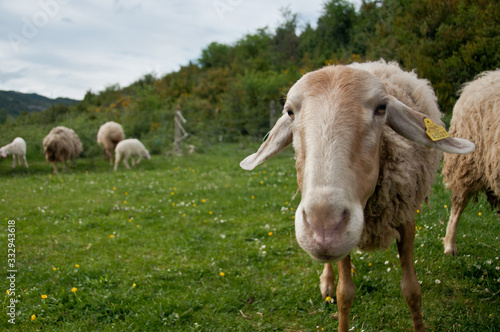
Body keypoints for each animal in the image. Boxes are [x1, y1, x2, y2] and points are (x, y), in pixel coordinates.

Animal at [240, 60, 474, 332]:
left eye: (382, 108)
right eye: (289, 112)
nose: (324, 228)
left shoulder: (405, 217)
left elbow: (412, 291)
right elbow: (345, 295)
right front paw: (336, 289)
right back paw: (327, 282)